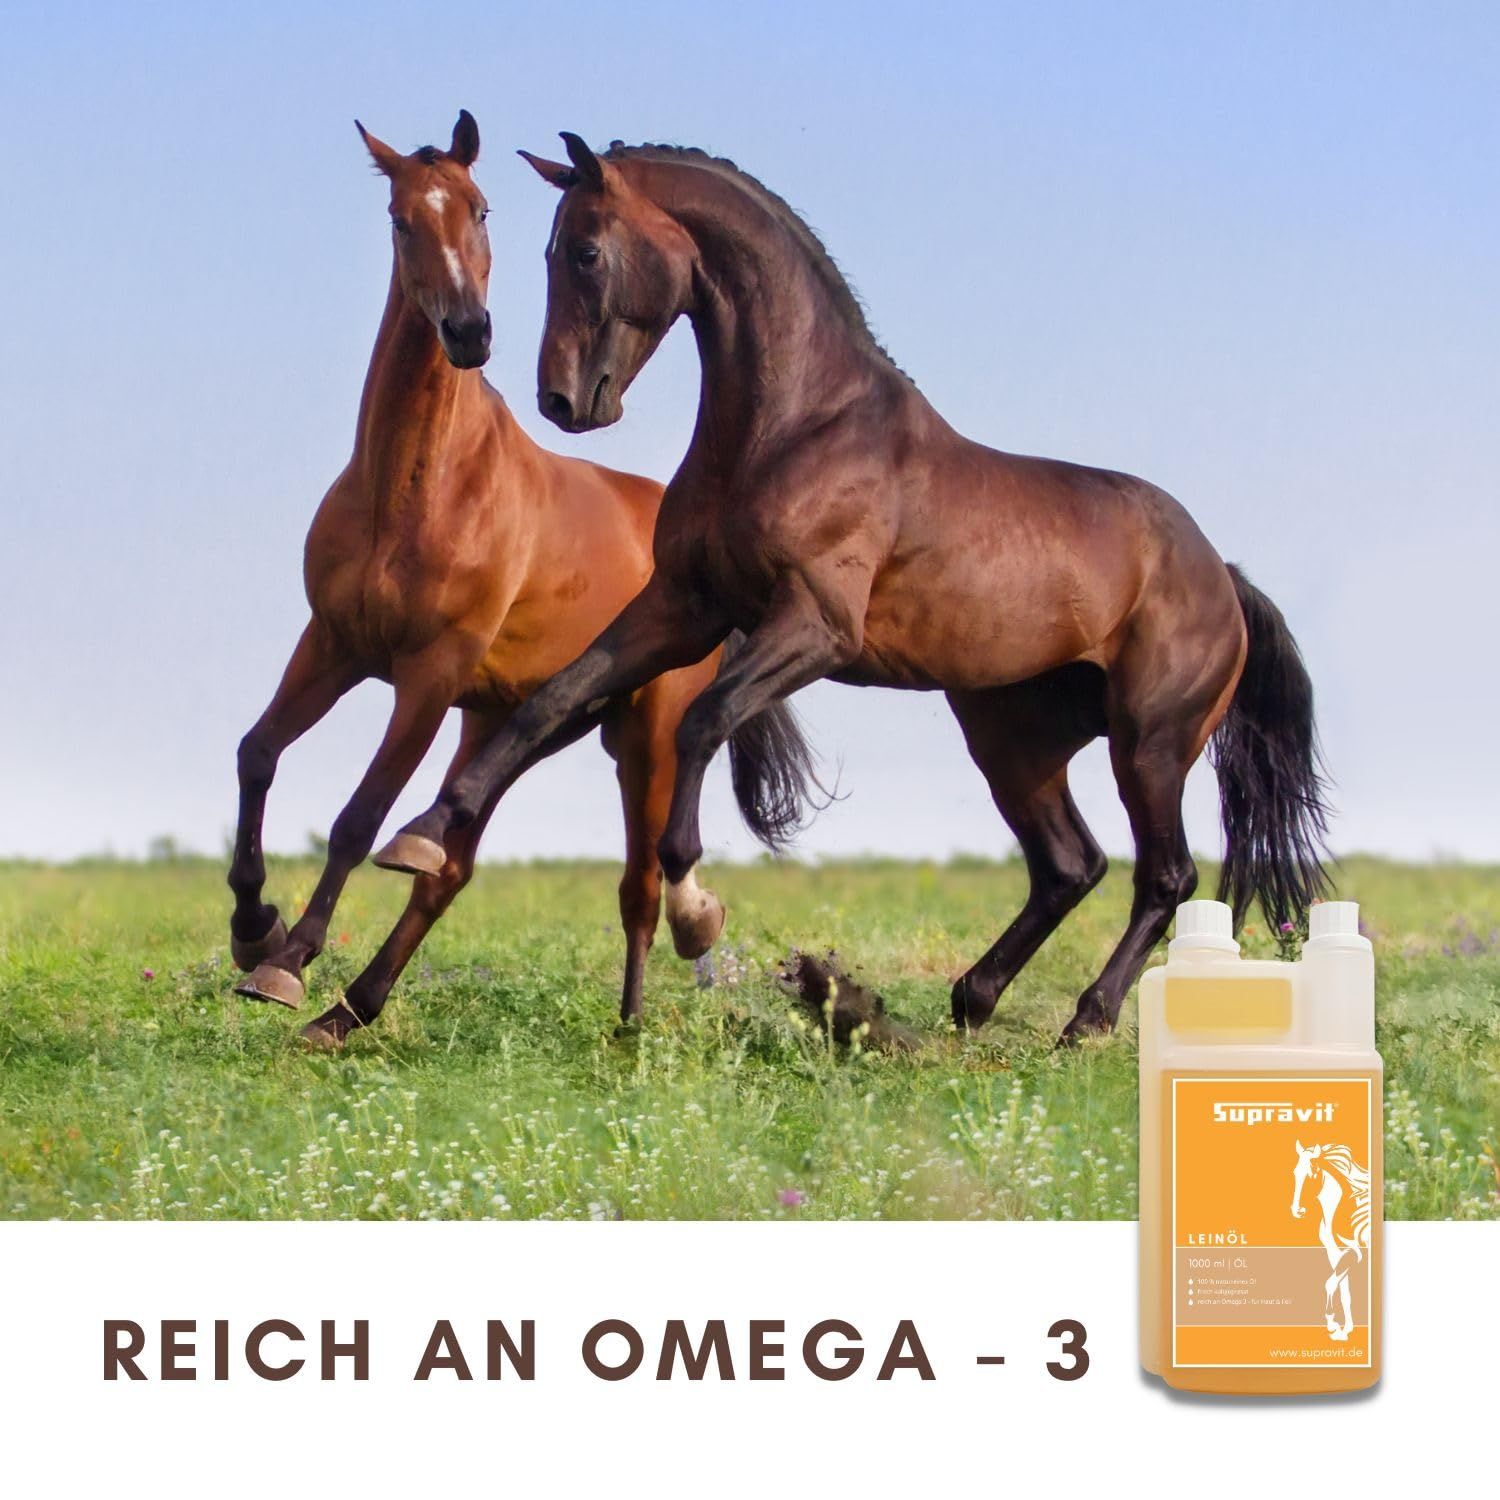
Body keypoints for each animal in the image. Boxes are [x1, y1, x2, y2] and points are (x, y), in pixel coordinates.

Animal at [226, 114, 815, 1048]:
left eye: (481, 209)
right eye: (400, 219)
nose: (469, 331)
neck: (417, 488)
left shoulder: (427, 676)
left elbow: (358, 818)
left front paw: (285, 963)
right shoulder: (333, 644)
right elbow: (257, 755)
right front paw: (253, 930)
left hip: (643, 734)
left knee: (638, 885)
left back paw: (634, 1019)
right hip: (509, 722)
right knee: (448, 865)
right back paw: (349, 1010)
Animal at [381, 132, 1330, 1043]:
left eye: (583, 251)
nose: (562, 401)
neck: (796, 426)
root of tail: (1222, 575)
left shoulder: (813, 627)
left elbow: (703, 721)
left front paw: (696, 910)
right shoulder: (682, 608)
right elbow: (551, 701)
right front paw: (422, 832)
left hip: (1151, 742)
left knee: (1165, 874)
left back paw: (1085, 1022)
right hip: (1013, 741)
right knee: (1070, 865)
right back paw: (972, 1000)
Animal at [1291, 1141, 1371, 1340]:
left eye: (1312, 1174)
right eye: (1295, 1173)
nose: (1297, 1210)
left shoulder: (1356, 1254)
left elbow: (1330, 1284)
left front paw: (1334, 1325)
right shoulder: (1336, 1254)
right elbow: (1344, 1293)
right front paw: (1345, 1328)